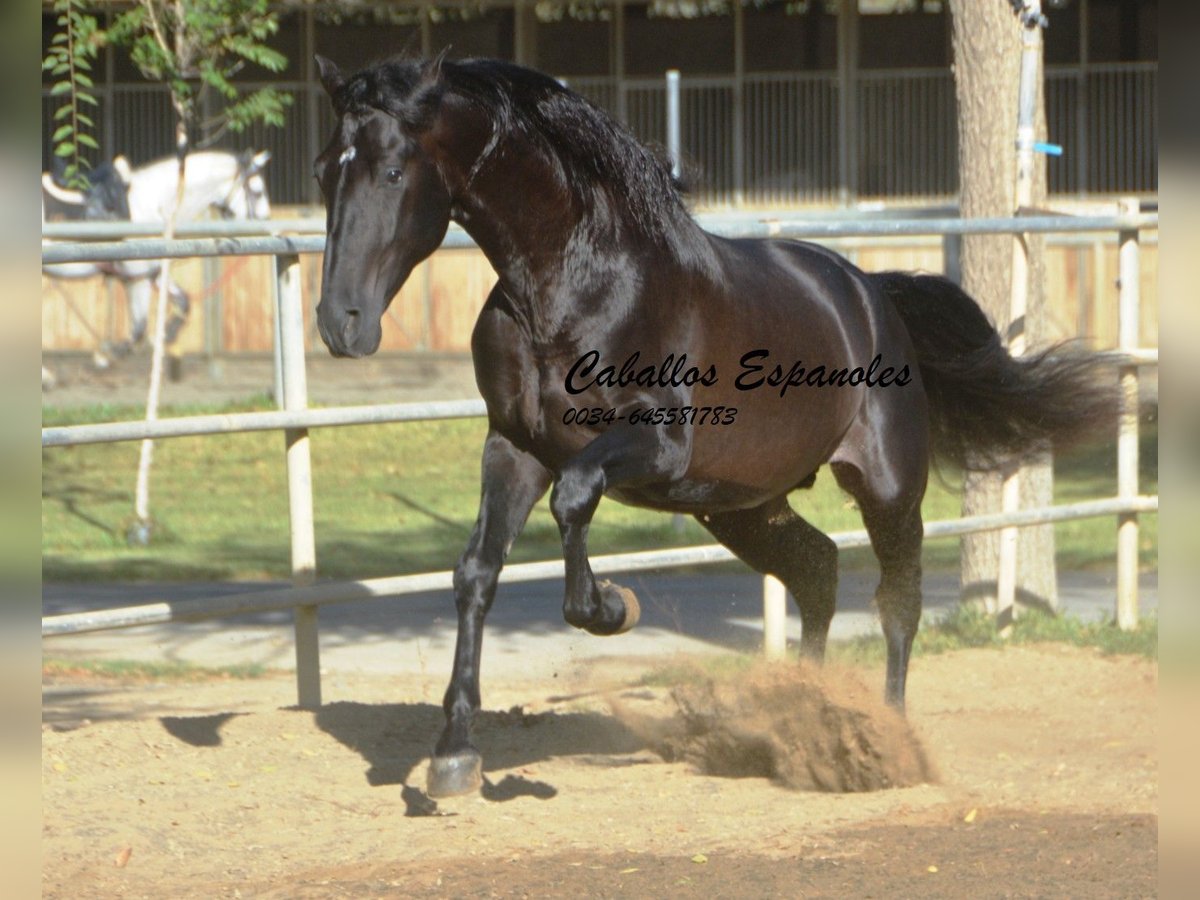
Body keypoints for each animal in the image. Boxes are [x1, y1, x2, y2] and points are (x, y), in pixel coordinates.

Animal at [42, 150, 272, 374]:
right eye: (258, 192)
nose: (266, 224)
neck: (152, 204)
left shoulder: (152, 273)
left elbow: (183, 302)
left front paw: (165, 336)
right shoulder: (137, 279)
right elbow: (139, 328)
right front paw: (105, 358)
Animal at [312, 56, 1113, 801]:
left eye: (392, 170)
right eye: (324, 172)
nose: (340, 322)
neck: (575, 286)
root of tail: (872, 294)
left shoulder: (657, 446)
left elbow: (574, 498)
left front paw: (612, 608)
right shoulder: (513, 449)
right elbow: (476, 572)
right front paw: (454, 755)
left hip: (886, 489)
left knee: (897, 603)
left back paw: (887, 745)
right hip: (741, 505)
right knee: (818, 571)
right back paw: (809, 722)